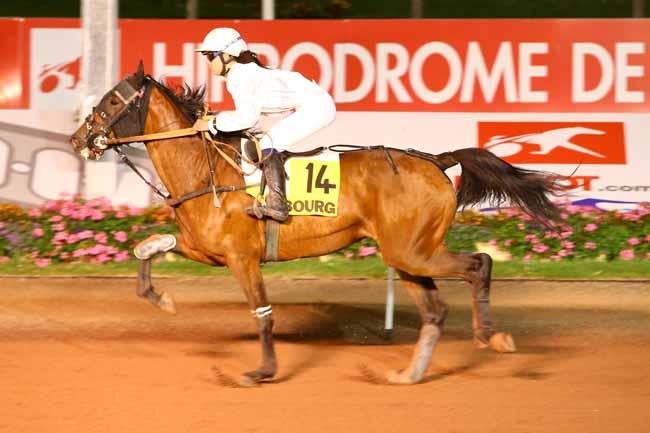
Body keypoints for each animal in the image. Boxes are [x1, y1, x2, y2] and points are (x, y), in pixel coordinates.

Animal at [69, 63, 563, 386]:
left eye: (112, 99)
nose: (77, 140)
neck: (204, 169)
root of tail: (436, 161)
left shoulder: (242, 258)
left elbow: (263, 314)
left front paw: (264, 370)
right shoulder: (206, 251)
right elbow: (147, 248)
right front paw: (162, 298)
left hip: (412, 251)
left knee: (479, 264)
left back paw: (492, 337)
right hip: (405, 254)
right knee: (436, 311)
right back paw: (409, 373)